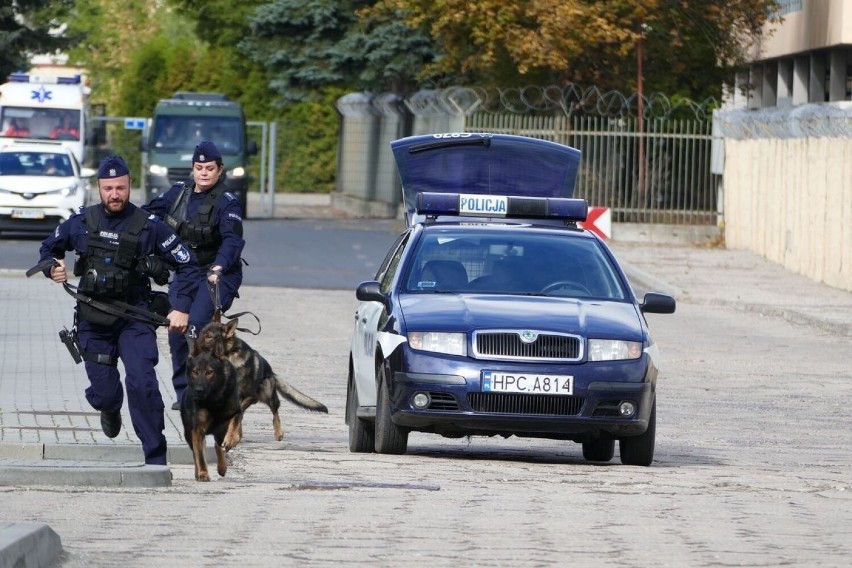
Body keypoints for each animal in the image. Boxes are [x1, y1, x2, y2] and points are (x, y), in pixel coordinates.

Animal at [181, 340, 243, 482]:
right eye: (195, 371)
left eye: (210, 372)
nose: (198, 390)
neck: (214, 398)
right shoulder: (198, 429)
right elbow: (200, 455)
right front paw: (203, 473)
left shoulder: (236, 412)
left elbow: (235, 424)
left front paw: (232, 439)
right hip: (189, 433)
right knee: (197, 453)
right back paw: (198, 472)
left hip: (219, 431)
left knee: (218, 445)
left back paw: (222, 466)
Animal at [195, 318, 328, 442]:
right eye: (201, 333)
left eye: (209, 336)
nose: (193, 349)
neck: (228, 356)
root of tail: (271, 372)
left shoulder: (250, 396)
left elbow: (235, 417)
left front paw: (229, 438)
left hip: (268, 396)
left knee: (275, 413)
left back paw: (278, 433)